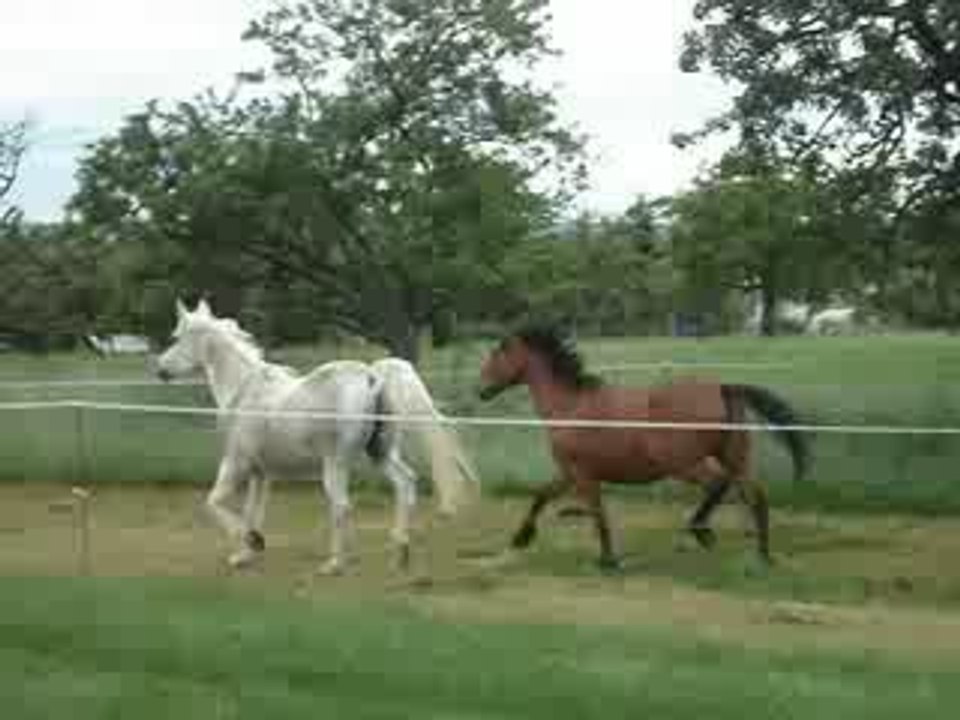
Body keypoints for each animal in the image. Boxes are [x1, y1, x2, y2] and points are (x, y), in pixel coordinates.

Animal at [156, 299, 478, 574]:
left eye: (176, 337)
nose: (160, 370)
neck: (245, 390)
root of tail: (372, 377)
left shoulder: (236, 463)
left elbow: (213, 504)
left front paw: (251, 542)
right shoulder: (261, 473)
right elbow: (251, 511)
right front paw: (246, 553)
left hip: (335, 463)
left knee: (342, 505)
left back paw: (334, 564)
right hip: (380, 453)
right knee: (406, 484)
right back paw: (401, 551)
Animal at [477, 324, 809, 570]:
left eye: (497, 354)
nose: (480, 390)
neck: (570, 406)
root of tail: (722, 388)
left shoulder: (581, 475)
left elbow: (598, 515)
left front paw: (607, 561)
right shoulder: (569, 473)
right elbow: (541, 497)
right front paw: (520, 538)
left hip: (684, 463)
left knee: (717, 485)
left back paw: (702, 531)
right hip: (734, 459)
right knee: (755, 497)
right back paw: (763, 556)